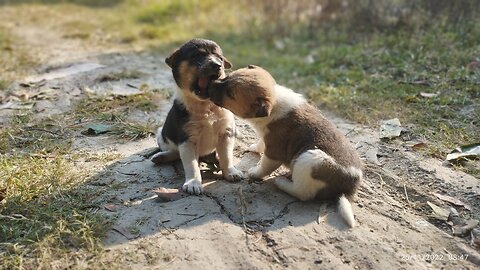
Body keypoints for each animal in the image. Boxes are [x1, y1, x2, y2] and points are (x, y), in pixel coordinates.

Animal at [152, 38, 244, 194]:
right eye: (196, 56)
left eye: (220, 58)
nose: (217, 65)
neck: (206, 106)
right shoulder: (187, 140)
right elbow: (191, 165)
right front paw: (193, 183)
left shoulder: (226, 134)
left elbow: (226, 157)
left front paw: (231, 172)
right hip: (161, 135)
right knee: (175, 152)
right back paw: (161, 157)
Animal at [208, 66, 362, 228]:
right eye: (228, 76)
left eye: (230, 93)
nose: (209, 84)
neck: (276, 101)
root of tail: (351, 184)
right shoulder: (267, 138)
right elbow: (261, 143)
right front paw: (254, 147)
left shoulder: (274, 152)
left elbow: (264, 166)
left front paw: (254, 173)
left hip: (309, 159)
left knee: (303, 193)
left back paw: (281, 183)